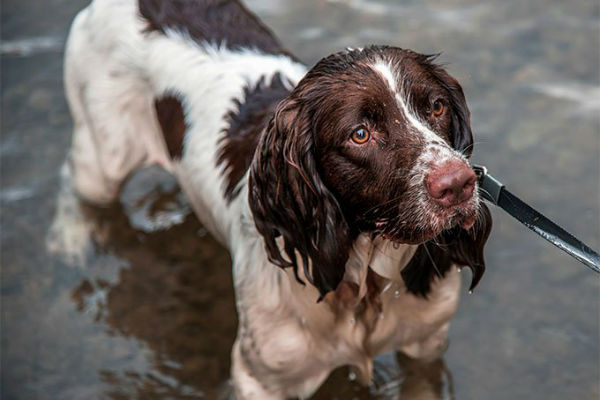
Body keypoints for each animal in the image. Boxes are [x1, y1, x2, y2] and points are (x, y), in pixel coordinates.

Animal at [63, 1, 490, 398]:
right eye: (360, 134)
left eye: (436, 106)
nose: (459, 184)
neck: (362, 279)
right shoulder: (261, 378)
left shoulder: (426, 345)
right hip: (104, 159)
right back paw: (71, 244)